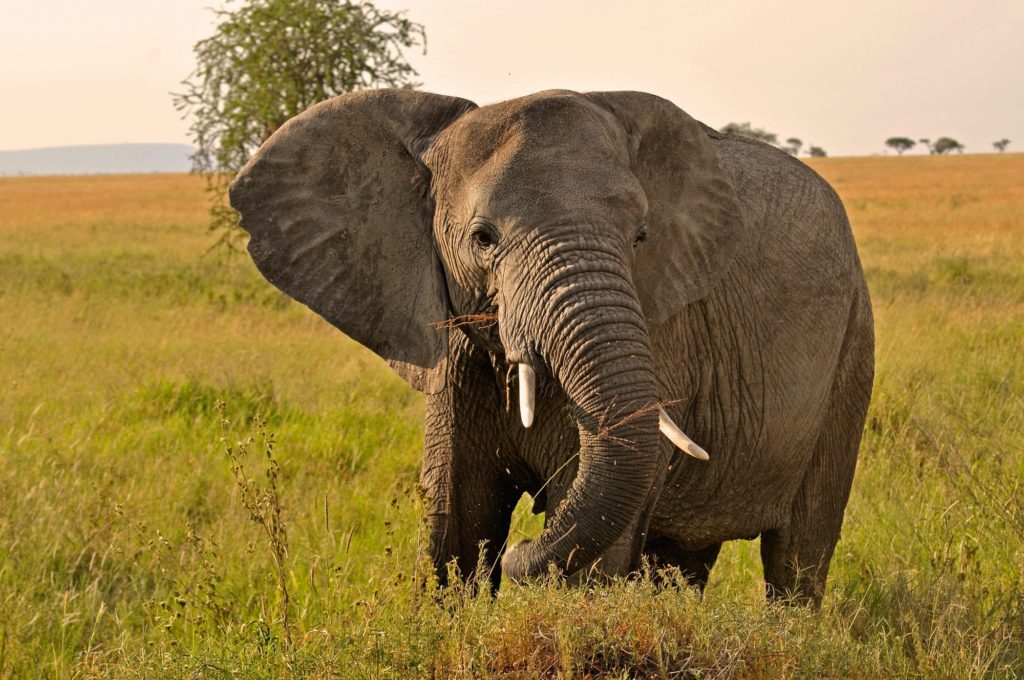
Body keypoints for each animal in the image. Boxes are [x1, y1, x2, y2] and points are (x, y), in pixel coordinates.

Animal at [230, 87, 872, 602]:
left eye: (641, 237)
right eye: (483, 238)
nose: (522, 550)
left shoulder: (661, 330)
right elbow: (456, 522)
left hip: (853, 346)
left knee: (799, 555)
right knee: (682, 557)